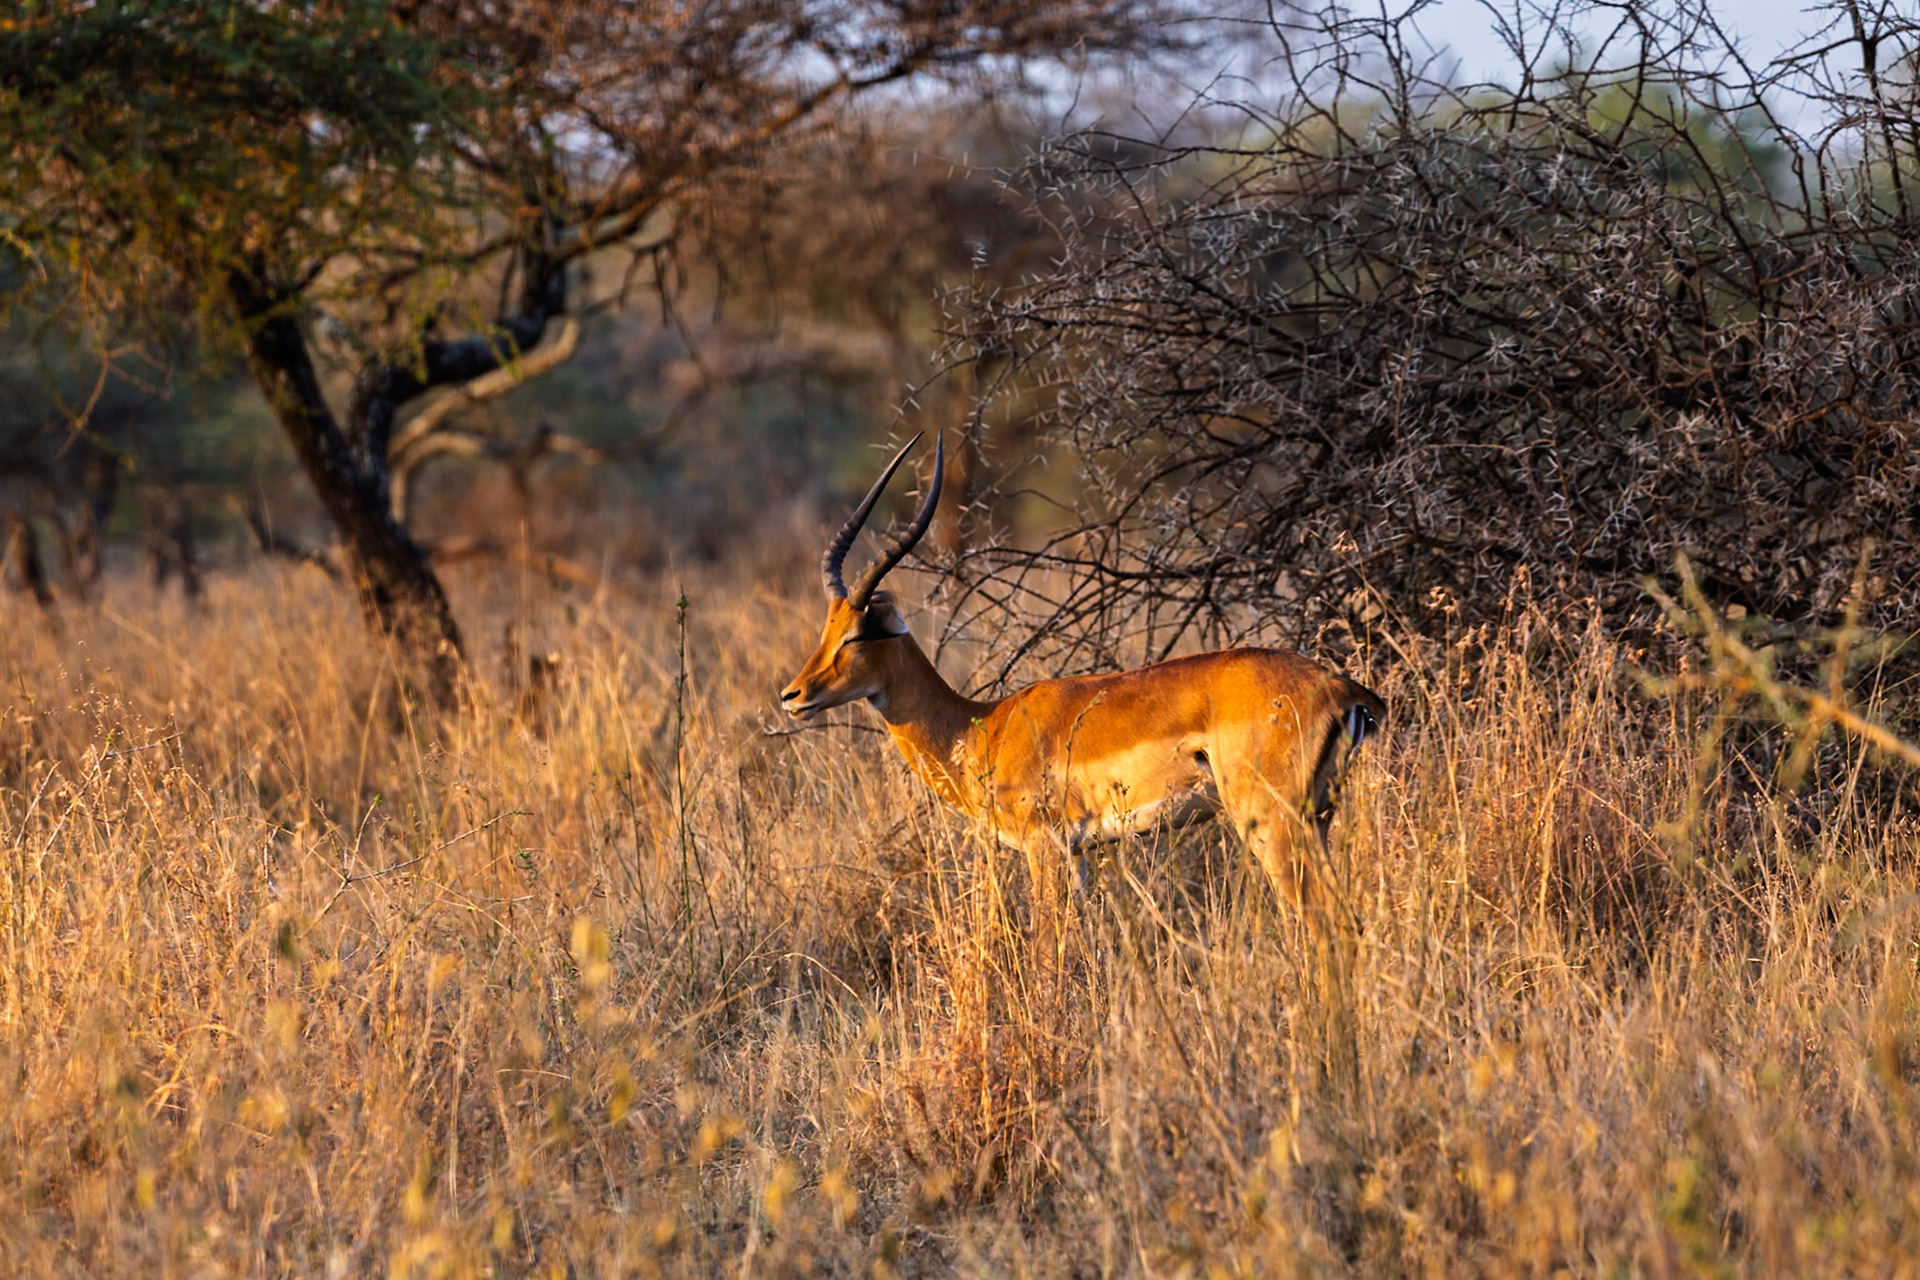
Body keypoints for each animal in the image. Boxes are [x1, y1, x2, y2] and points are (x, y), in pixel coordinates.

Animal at [780, 432, 1386, 909]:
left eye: (857, 634)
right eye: (826, 628)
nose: (792, 695)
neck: (986, 728)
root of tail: (1342, 689)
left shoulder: (1044, 849)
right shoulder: (1079, 857)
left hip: (1273, 824)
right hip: (1316, 820)